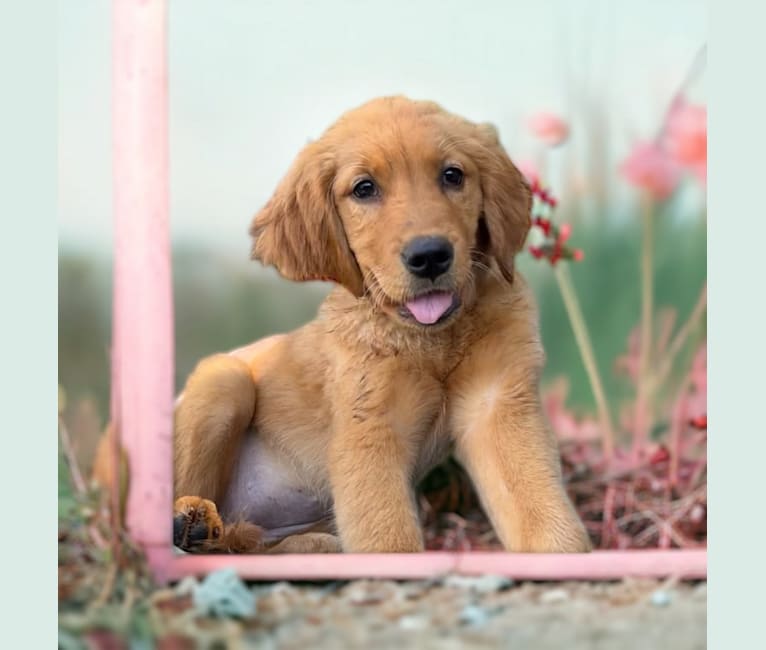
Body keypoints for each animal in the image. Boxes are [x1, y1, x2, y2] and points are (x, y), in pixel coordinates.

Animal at [172, 96, 592, 552]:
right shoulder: (370, 429)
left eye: (452, 175)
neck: (431, 339)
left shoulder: (498, 405)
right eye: (364, 188)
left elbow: (543, 514)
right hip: (223, 378)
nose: (429, 256)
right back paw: (192, 520)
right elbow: (387, 537)